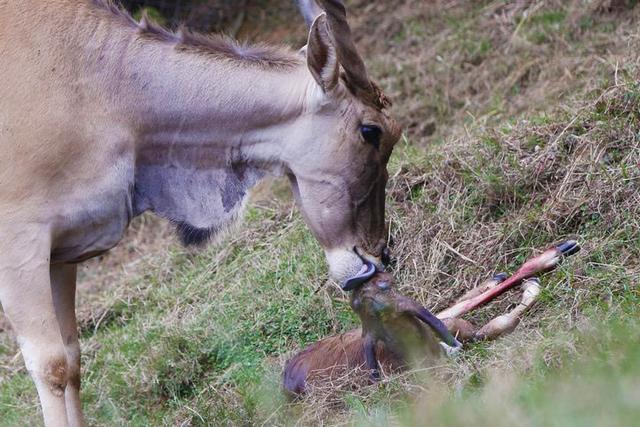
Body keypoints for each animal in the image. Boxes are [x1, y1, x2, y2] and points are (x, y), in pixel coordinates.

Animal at [0, 1, 400, 426]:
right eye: (371, 131)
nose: (377, 256)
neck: (107, 87)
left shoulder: (60, 258)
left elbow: (73, 360)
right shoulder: (21, 250)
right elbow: (53, 366)